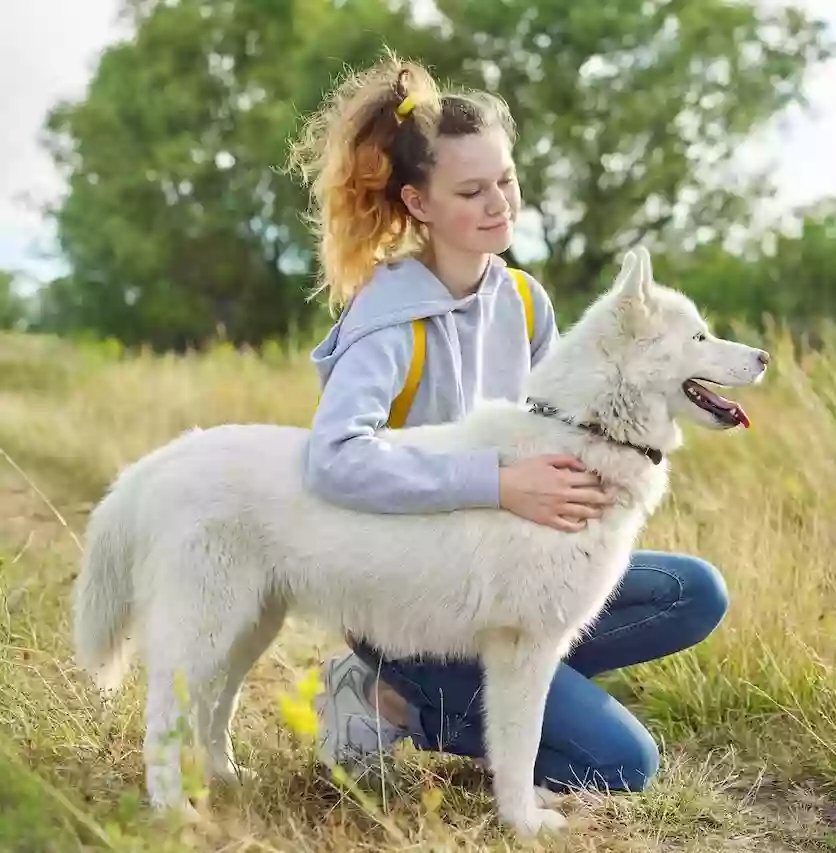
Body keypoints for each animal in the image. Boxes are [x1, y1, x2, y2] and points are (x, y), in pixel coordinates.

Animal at [73, 246, 772, 832]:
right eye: (701, 336)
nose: (764, 358)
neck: (586, 432)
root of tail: (159, 461)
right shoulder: (525, 649)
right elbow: (519, 745)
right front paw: (524, 824)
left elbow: (515, 745)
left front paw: (524, 808)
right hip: (205, 629)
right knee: (163, 718)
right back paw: (174, 811)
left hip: (248, 629)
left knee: (210, 708)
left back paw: (223, 778)